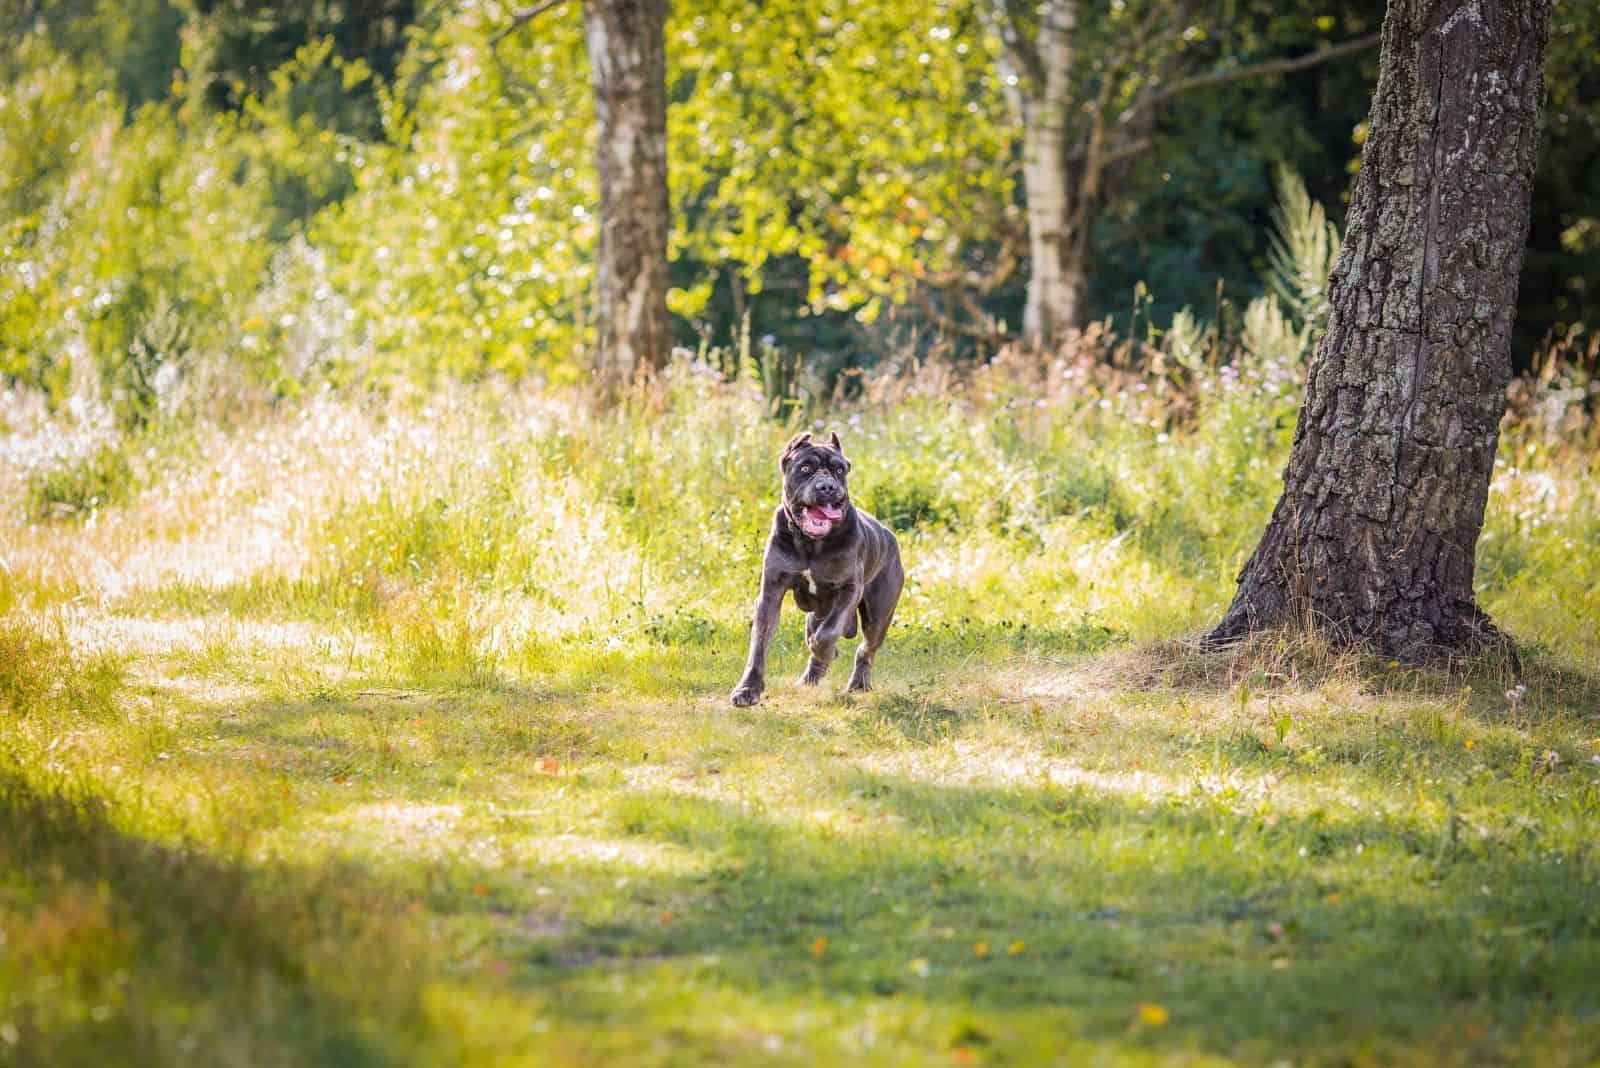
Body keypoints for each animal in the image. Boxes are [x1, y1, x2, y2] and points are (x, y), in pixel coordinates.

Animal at [732, 428, 908, 703]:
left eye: (839, 470)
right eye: (805, 468)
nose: (827, 486)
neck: (811, 543)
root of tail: (889, 534)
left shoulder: (849, 589)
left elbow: (829, 632)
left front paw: (824, 649)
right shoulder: (771, 592)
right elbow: (759, 645)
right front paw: (748, 689)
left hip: (879, 614)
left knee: (865, 649)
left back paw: (858, 683)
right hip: (815, 615)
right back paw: (810, 678)